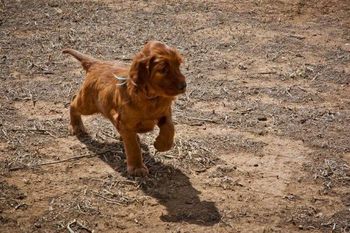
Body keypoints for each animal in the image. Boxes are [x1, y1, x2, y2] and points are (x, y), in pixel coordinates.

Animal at [64, 41, 187, 176]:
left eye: (178, 65)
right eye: (163, 69)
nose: (184, 86)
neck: (150, 98)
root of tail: (97, 64)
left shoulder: (165, 112)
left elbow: (170, 128)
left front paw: (161, 145)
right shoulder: (126, 124)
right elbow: (133, 146)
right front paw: (137, 168)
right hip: (88, 104)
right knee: (73, 102)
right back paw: (76, 126)